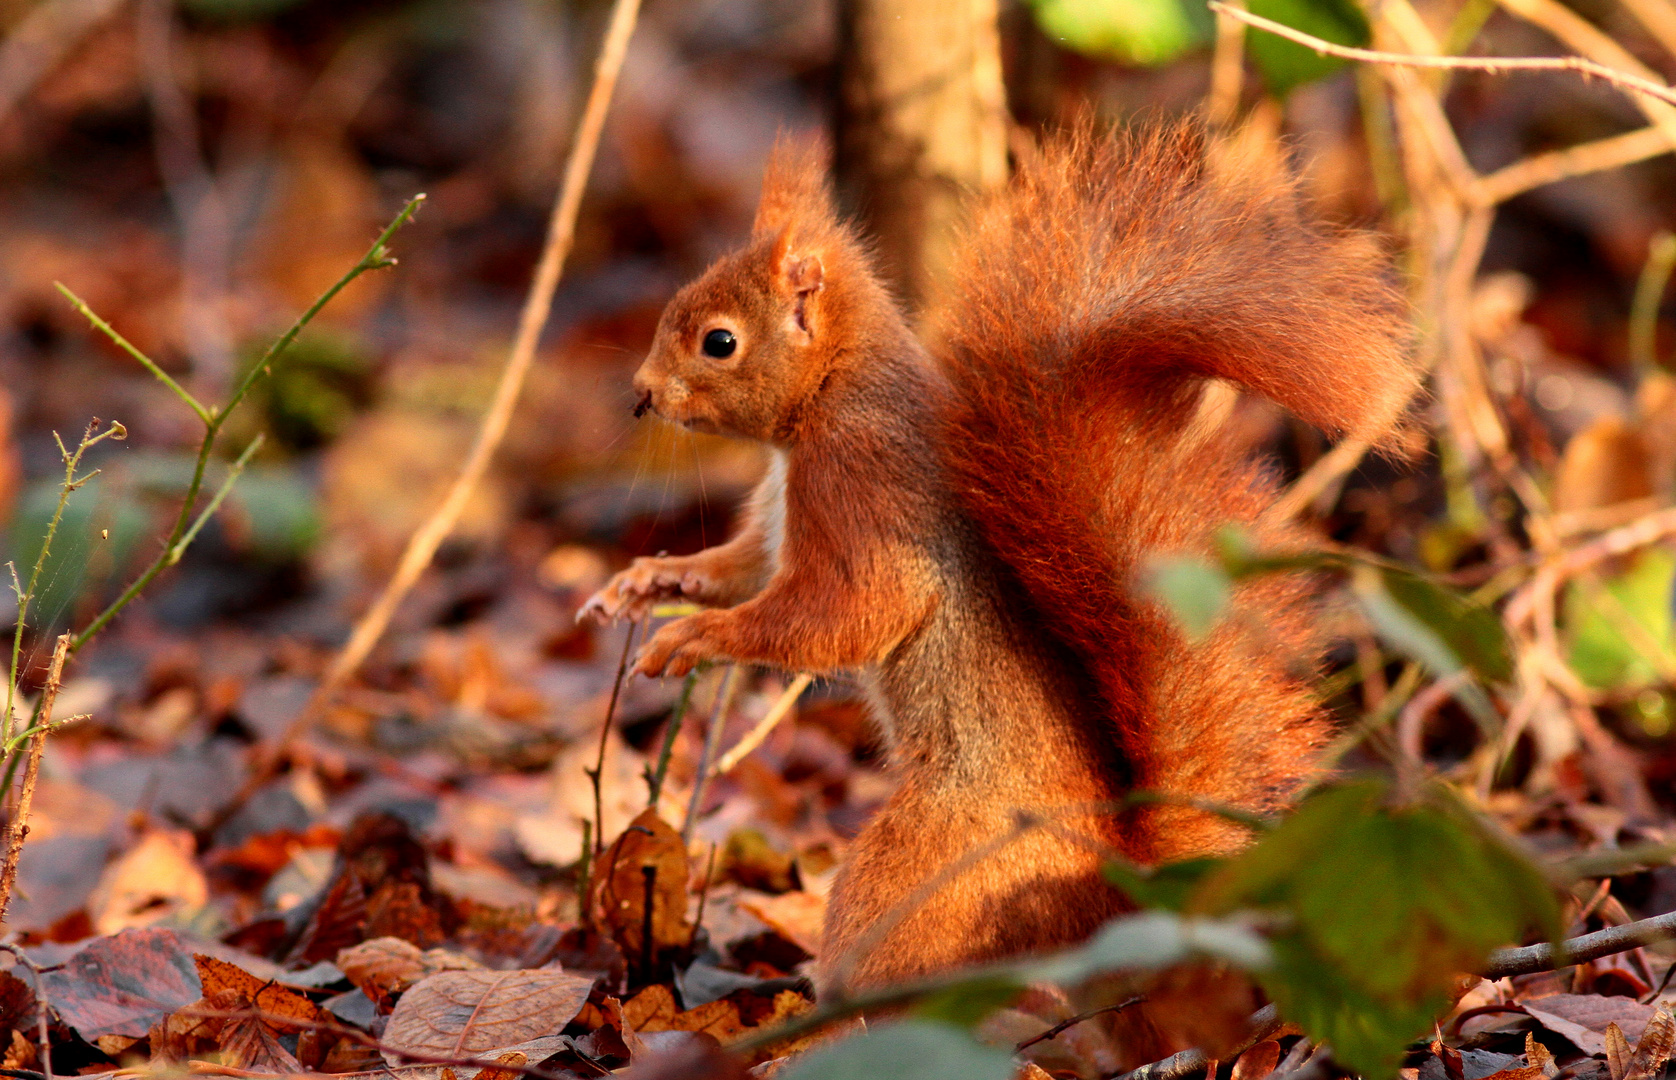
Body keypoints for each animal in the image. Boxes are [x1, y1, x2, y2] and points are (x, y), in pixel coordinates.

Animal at [576, 122, 1414, 992]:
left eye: (720, 342)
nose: (641, 393)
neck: (831, 391)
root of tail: (1112, 886)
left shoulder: (862, 483)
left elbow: (855, 610)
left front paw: (691, 638)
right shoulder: (777, 521)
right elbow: (741, 570)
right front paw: (644, 584)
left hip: (924, 877)